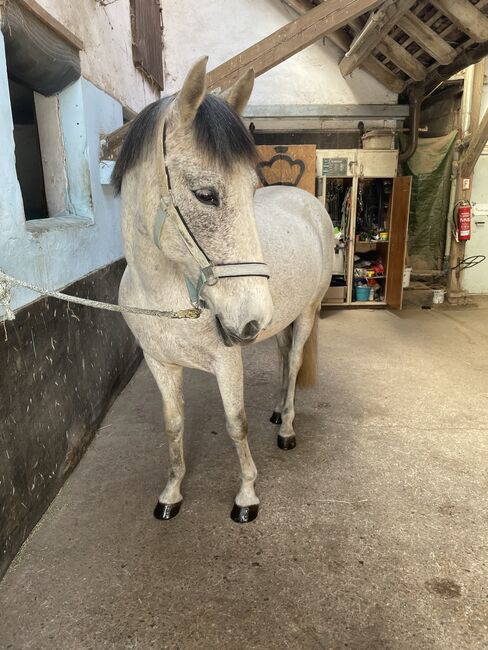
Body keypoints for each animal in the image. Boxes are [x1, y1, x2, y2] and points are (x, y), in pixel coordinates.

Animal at [115, 55, 332, 520]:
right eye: (205, 194)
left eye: (252, 190)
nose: (251, 318)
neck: (164, 296)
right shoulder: (161, 364)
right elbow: (173, 424)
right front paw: (172, 492)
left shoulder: (227, 362)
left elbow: (236, 425)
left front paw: (247, 495)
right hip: (280, 321)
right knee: (284, 357)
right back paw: (277, 411)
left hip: (306, 313)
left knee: (295, 361)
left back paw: (287, 427)